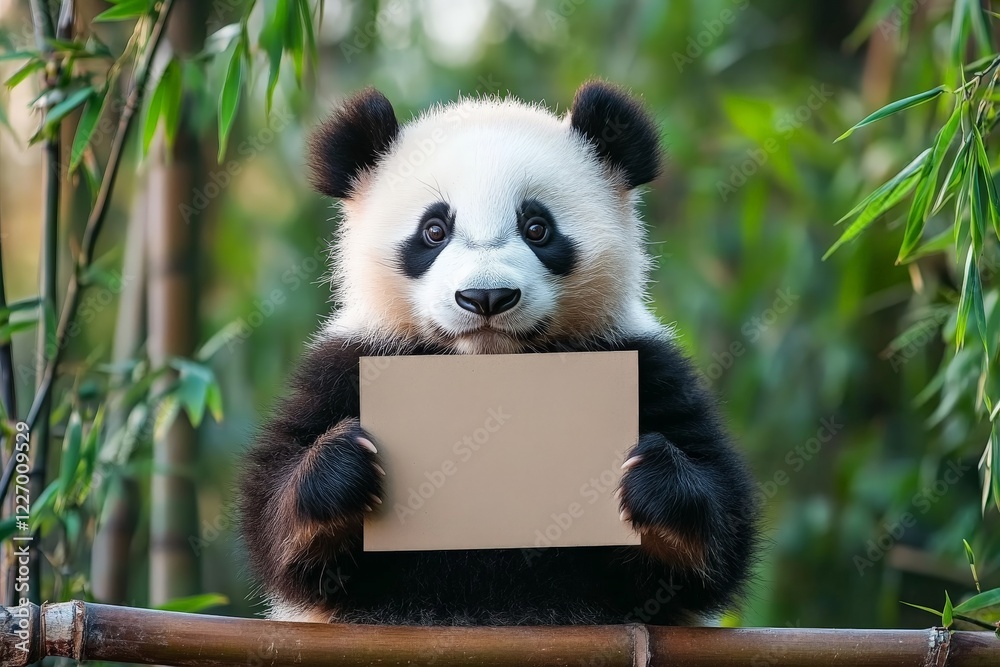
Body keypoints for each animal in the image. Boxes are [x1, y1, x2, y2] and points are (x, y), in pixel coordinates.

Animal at [238, 81, 758, 626]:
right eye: (434, 230)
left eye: (537, 227)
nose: (486, 297)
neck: (487, 363)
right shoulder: (345, 365)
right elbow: (280, 533)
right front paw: (345, 465)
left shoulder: (646, 363)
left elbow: (714, 538)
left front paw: (652, 479)